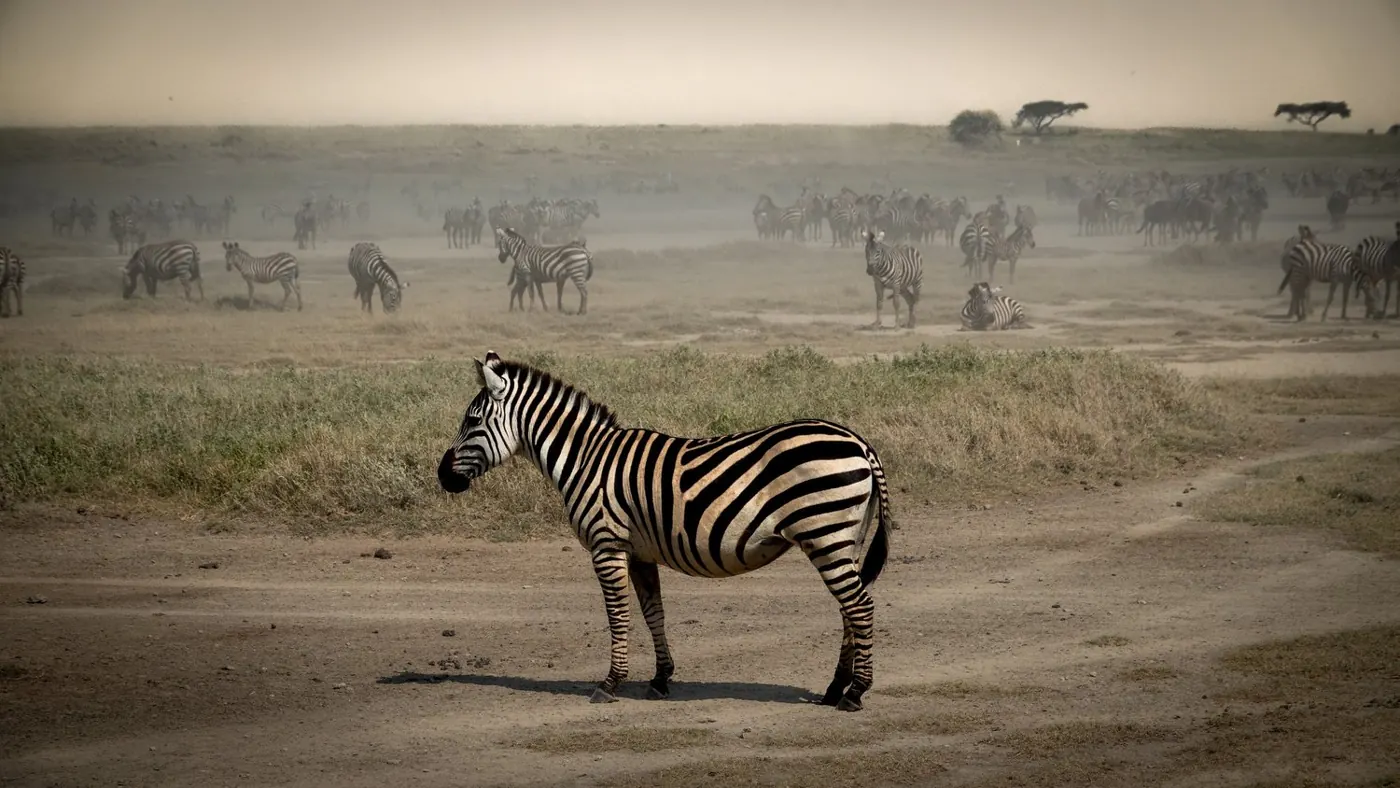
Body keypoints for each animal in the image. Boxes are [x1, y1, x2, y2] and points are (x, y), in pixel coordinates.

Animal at [437, 351, 895, 711]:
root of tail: (859, 443)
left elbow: (618, 616)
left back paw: (855, 693)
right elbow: (653, 612)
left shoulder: (606, 545)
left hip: (826, 534)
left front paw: (610, 683)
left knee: (860, 607)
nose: (442, 475)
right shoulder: (640, 551)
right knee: (849, 608)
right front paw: (660, 680)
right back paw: (835, 689)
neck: (585, 459)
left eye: (472, 422)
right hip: (845, 537)